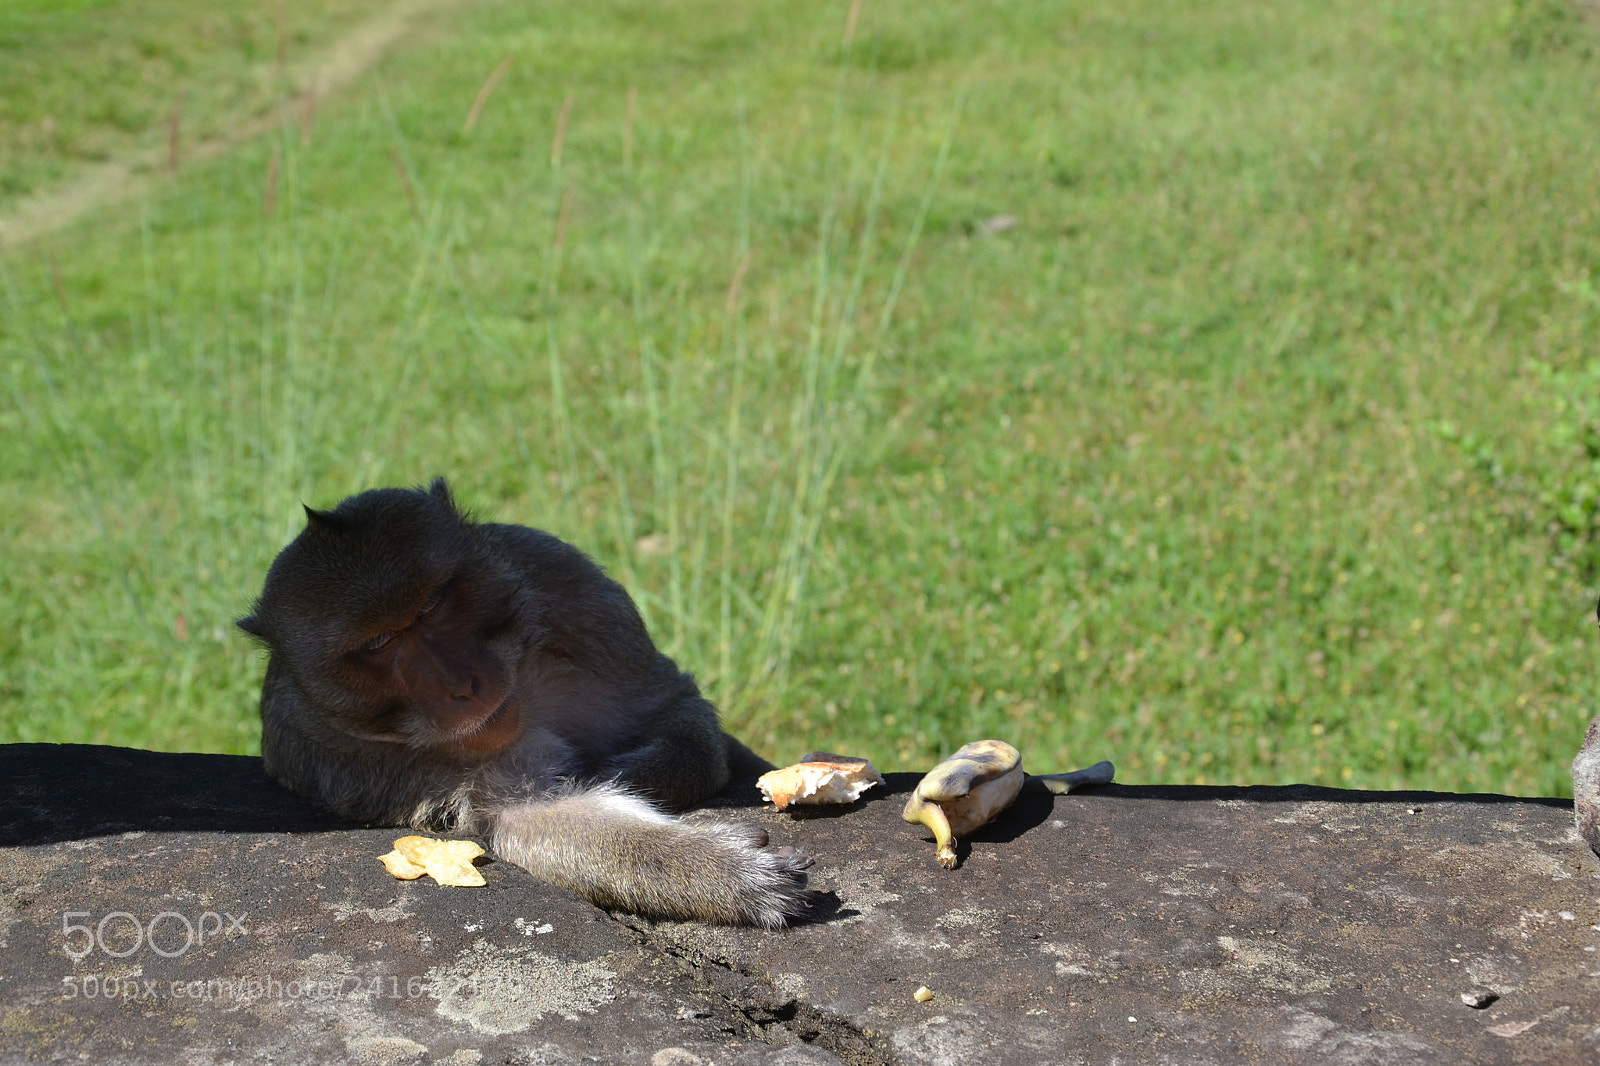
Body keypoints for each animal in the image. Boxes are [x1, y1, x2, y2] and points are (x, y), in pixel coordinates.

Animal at [237, 478, 811, 927]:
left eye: (433, 604)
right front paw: (722, 873)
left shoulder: (579, 592)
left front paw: (636, 773)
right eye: (377, 644)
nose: (460, 684)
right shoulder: (343, 759)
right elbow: (528, 816)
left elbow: (673, 706)